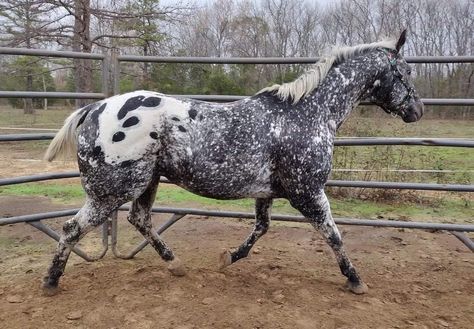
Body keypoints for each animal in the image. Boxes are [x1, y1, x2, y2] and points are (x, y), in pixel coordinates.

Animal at [42, 30, 424, 294]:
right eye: (405, 72)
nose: (417, 111)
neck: (308, 113)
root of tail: (95, 108)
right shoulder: (308, 192)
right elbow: (333, 234)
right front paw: (355, 280)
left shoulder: (267, 192)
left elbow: (261, 228)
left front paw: (228, 258)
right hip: (111, 192)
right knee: (72, 229)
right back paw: (50, 282)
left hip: (146, 182)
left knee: (140, 219)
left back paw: (175, 264)